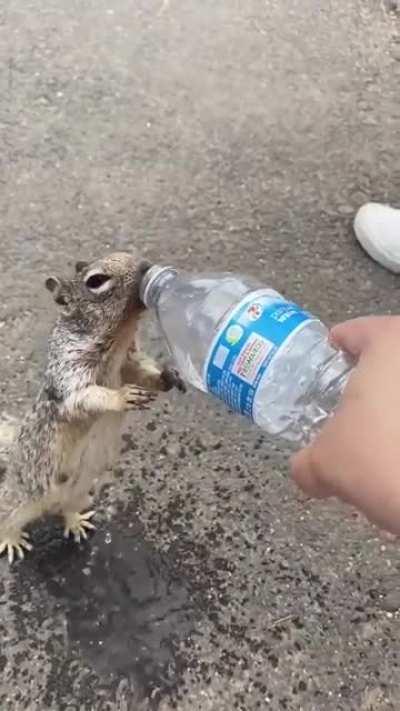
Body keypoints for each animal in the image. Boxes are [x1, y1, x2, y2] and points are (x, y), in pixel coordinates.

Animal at [0, 251, 185, 563]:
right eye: (96, 281)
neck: (120, 339)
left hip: (79, 493)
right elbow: (84, 398)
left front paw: (168, 376)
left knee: (67, 509)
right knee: (6, 517)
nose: (146, 267)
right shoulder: (69, 373)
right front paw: (121, 397)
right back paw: (10, 539)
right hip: (20, 498)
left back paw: (75, 522)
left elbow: (143, 374)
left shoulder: (129, 363)